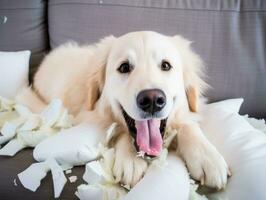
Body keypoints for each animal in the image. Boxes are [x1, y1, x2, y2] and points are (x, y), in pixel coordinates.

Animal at [16, 31, 229, 189]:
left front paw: (207, 156)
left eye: (166, 65)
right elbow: (120, 130)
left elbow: (188, 125)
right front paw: (130, 159)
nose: (152, 100)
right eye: (124, 67)